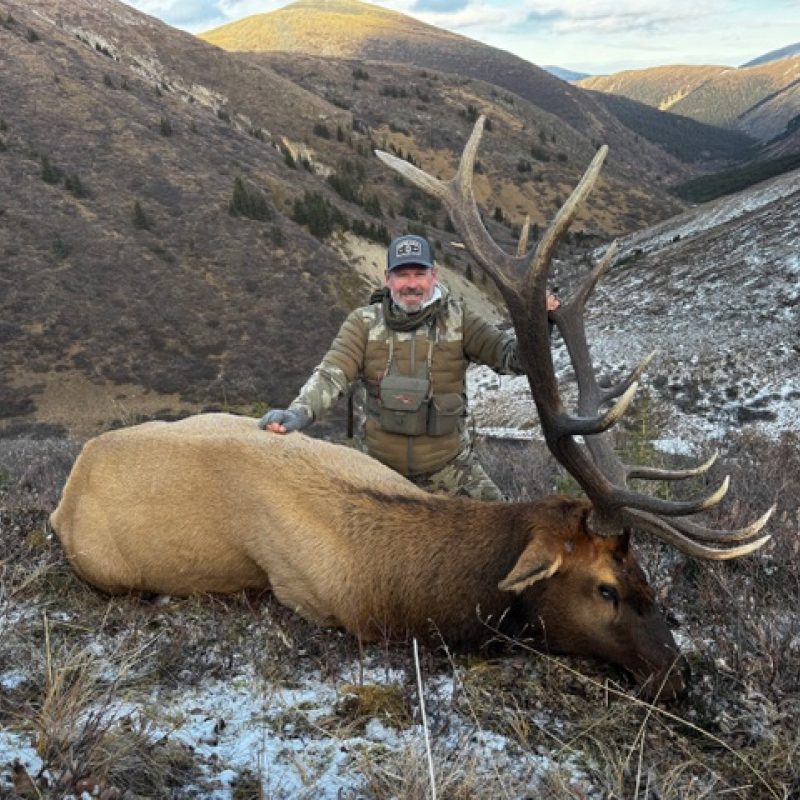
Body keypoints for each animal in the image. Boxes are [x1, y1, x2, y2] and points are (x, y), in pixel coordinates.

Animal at [50, 117, 772, 701]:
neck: (388, 582)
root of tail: (72, 479)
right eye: (606, 587)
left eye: (644, 571)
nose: (679, 676)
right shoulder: (306, 600)